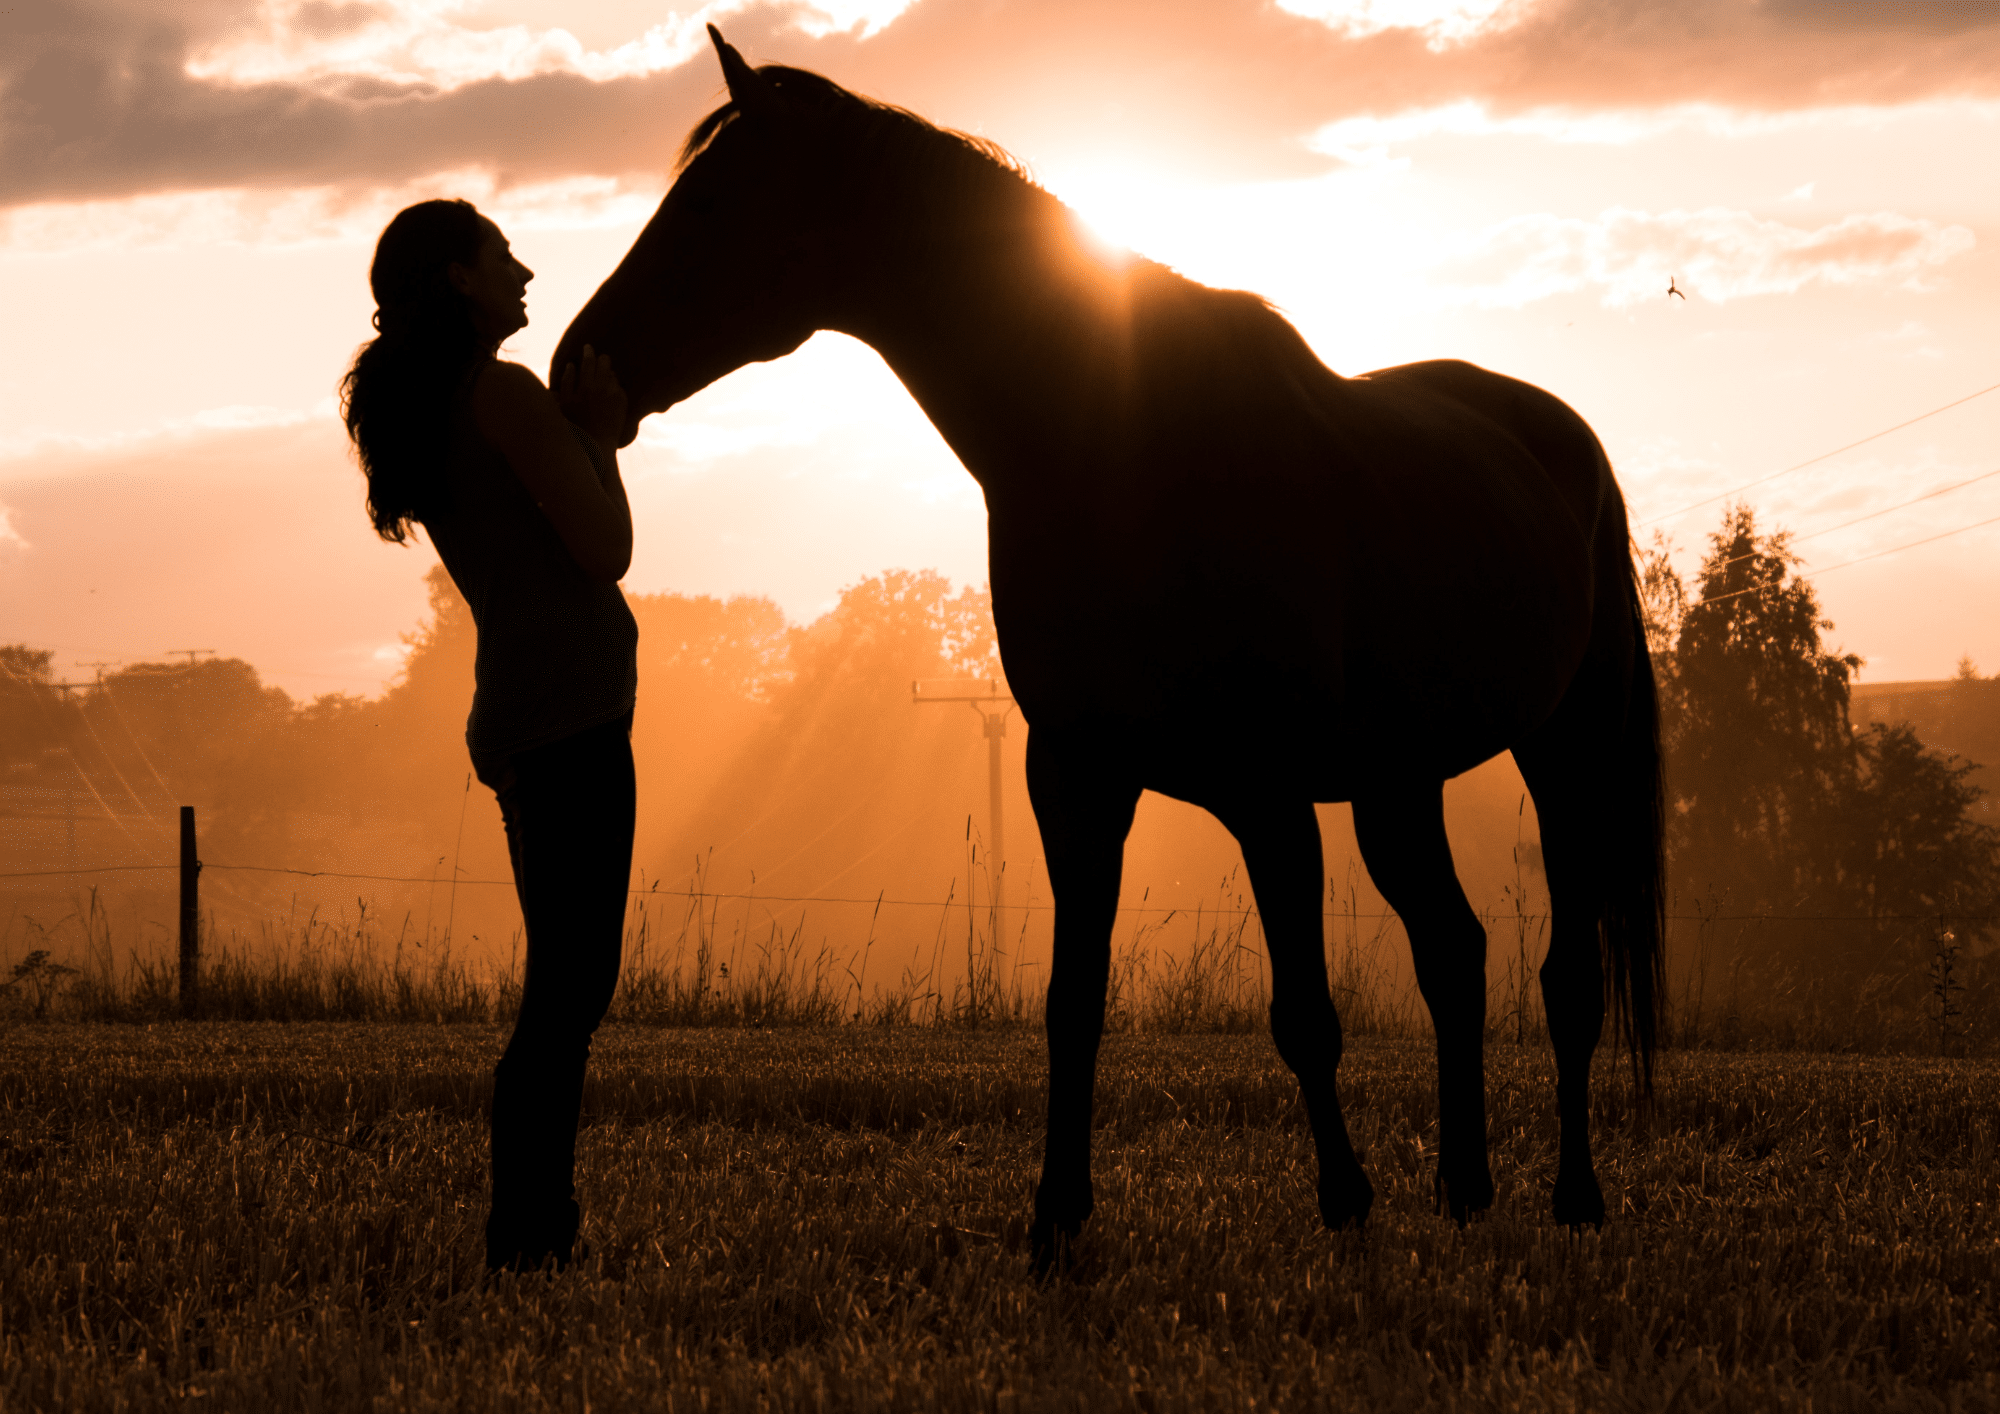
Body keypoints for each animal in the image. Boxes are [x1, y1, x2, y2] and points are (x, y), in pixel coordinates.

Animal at [555, 28, 1665, 1271]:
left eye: (713, 204)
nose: (575, 363)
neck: (1123, 449)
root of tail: (1556, 436)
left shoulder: (1265, 792)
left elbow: (1303, 1012)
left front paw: (1342, 1201)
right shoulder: (1074, 776)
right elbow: (1070, 1002)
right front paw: (1055, 1217)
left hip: (1565, 753)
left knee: (1565, 976)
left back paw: (1572, 1195)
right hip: (1397, 784)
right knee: (1454, 953)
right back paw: (1464, 1187)